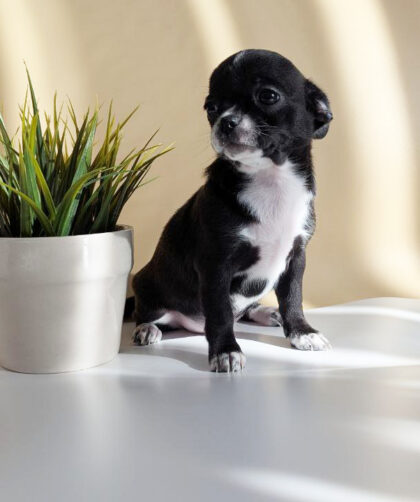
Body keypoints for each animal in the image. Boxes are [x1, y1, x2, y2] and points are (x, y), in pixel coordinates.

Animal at [131, 49, 333, 372]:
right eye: (211, 108)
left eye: (268, 96)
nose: (225, 121)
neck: (271, 179)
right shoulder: (216, 265)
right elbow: (221, 313)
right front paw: (225, 351)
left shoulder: (295, 257)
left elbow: (293, 298)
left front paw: (302, 332)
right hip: (148, 286)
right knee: (147, 312)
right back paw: (147, 328)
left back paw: (265, 312)